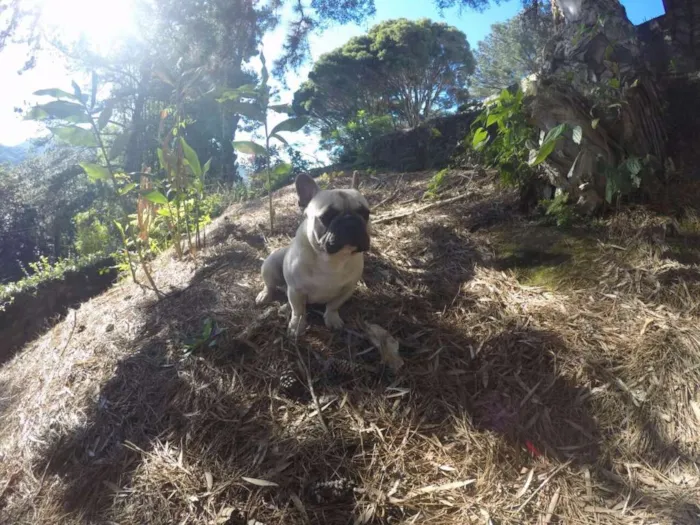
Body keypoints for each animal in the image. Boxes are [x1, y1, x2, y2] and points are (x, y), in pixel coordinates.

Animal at [254, 170, 370, 338]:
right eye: (326, 216)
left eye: (365, 214)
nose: (350, 221)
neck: (332, 260)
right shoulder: (296, 290)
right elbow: (298, 310)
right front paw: (297, 325)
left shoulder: (347, 289)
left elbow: (333, 305)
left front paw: (332, 318)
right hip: (270, 265)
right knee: (270, 285)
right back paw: (266, 296)